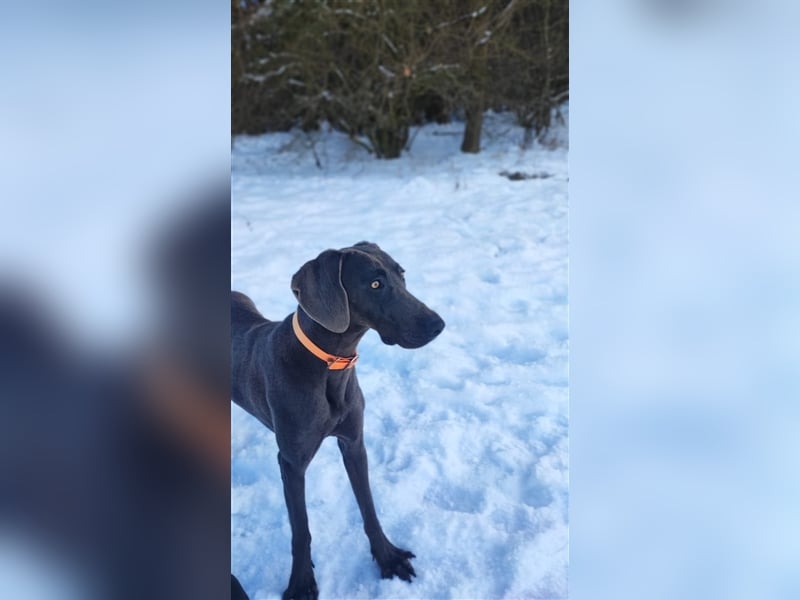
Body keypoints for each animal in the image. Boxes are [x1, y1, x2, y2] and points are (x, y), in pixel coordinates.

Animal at [230, 241, 444, 596]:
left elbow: (368, 507)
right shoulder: (291, 463)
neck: (330, 364)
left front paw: (387, 557)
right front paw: (301, 582)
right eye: (375, 284)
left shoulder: (354, 444)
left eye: (401, 274)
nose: (438, 325)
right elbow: (301, 529)